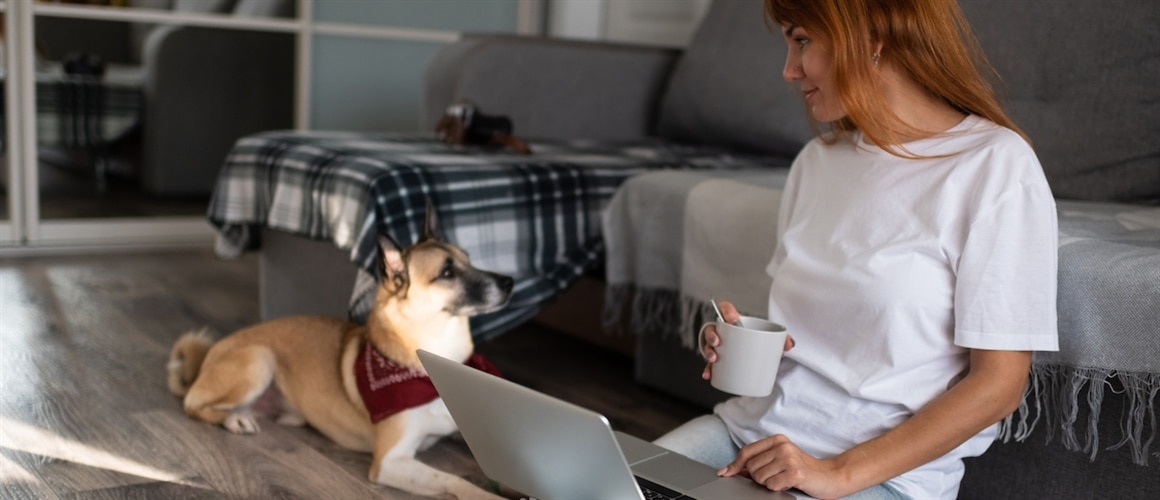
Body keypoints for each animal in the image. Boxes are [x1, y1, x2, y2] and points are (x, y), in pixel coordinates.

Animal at [169, 206, 515, 496]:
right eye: (447, 273)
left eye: (469, 259)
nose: (509, 281)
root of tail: (209, 355)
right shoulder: (390, 461)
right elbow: (452, 478)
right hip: (259, 360)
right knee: (192, 404)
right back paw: (232, 421)